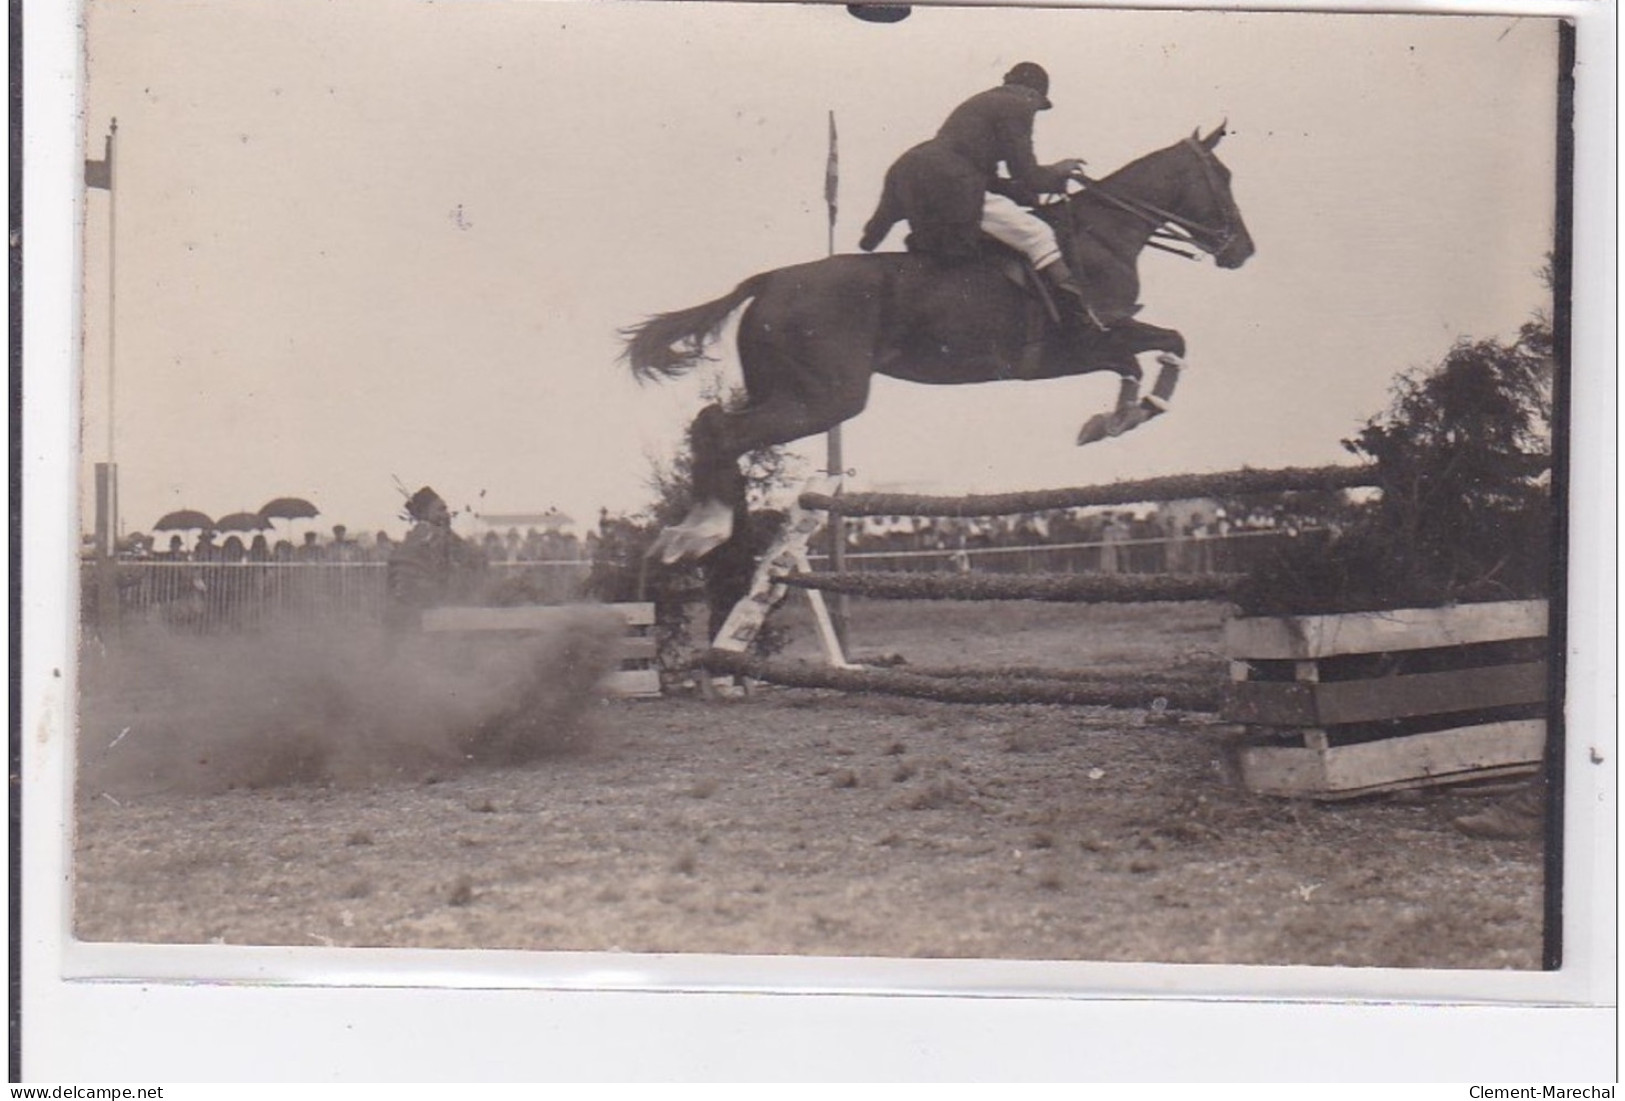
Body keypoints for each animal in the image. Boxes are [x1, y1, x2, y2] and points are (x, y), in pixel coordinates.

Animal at [624, 125, 1254, 565]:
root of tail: (769, 280)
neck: (1104, 235)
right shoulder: (1084, 343)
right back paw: (702, 532)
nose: (1242, 251)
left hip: (785, 391)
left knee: (711, 422)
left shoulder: (1087, 350)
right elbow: (1165, 343)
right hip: (827, 400)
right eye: (1222, 178)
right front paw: (1133, 413)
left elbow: (1139, 359)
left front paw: (1112, 420)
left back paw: (689, 532)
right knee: (723, 431)